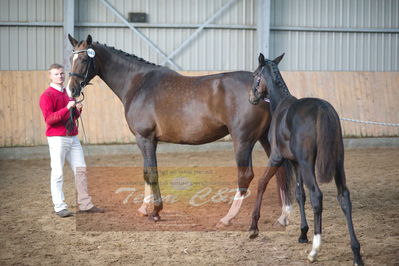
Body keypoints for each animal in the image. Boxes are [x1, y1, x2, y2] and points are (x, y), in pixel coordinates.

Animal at [65, 34, 294, 227]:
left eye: (84, 60)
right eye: (71, 58)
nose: (71, 90)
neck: (138, 83)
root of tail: (261, 90)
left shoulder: (144, 138)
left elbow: (151, 173)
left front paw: (155, 211)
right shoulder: (149, 140)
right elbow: (147, 172)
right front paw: (145, 208)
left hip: (243, 140)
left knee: (246, 176)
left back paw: (228, 217)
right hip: (265, 139)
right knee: (279, 171)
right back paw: (283, 215)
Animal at [248, 53, 364, 264]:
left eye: (255, 75)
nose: (251, 97)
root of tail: (323, 108)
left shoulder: (277, 158)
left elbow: (262, 183)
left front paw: (253, 227)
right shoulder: (295, 163)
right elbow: (299, 194)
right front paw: (303, 233)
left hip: (308, 165)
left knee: (317, 196)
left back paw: (314, 251)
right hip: (337, 164)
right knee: (343, 197)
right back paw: (356, 253)